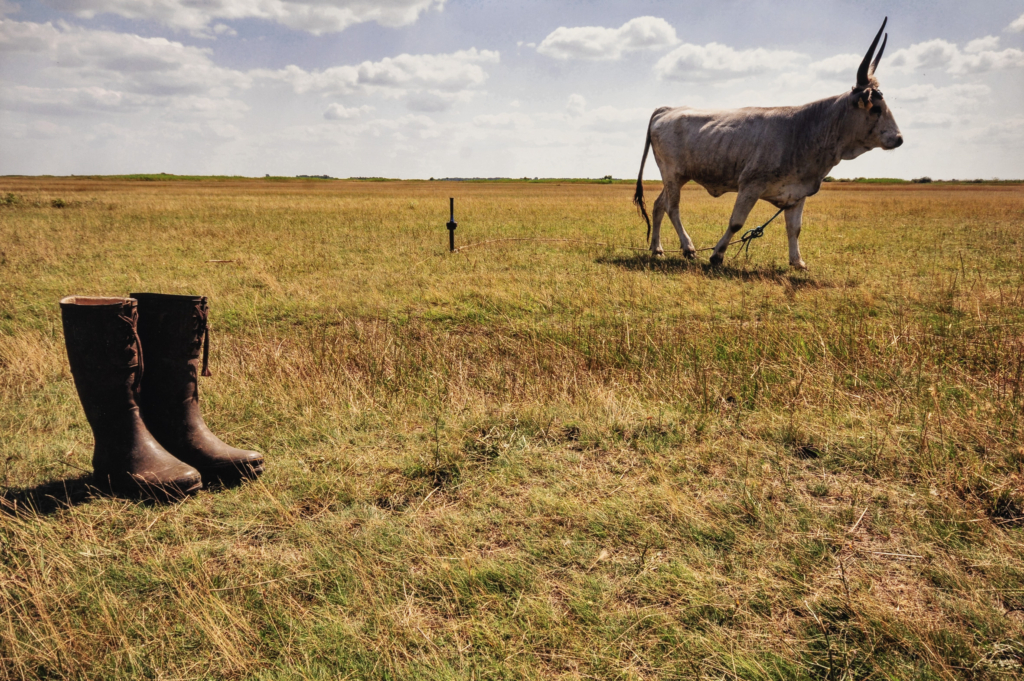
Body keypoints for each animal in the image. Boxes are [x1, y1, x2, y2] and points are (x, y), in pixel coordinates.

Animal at [634, 18, 902, 270]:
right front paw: (717, 254)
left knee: (659, 205)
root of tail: (668, 109)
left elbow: (795, 229)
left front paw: (797, 261)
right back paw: (688, 248)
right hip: (672, 173)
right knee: (672, 208)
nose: (899, 138)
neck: (806, 129)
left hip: (676, 177)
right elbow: (736, 222)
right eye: (876, 108)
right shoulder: (750, 185)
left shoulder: (797, 193)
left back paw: (657, 249)